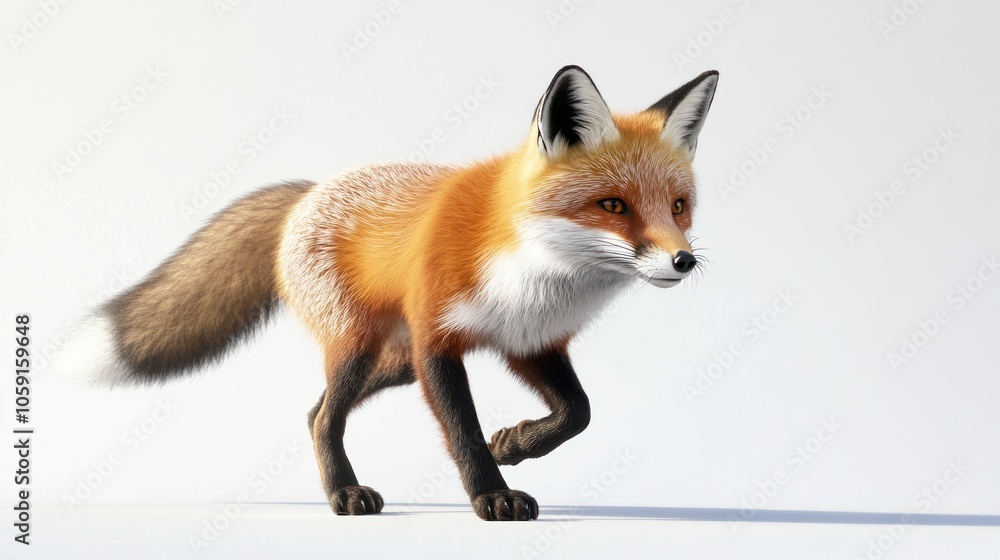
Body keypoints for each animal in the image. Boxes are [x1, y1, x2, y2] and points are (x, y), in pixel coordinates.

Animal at [61, 65, 719, 521]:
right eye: (614, 206)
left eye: (678, 207)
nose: (683, 261)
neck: (535, 273)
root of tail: (309, 192)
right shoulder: (437, 343)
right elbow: (463, 433)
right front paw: (492, 496)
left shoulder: (529, 343)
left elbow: (577, 414)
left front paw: (514, 445)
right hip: (360, 346)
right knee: (327, 416)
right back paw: (344, 492)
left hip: (393, 361)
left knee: (314, 411)